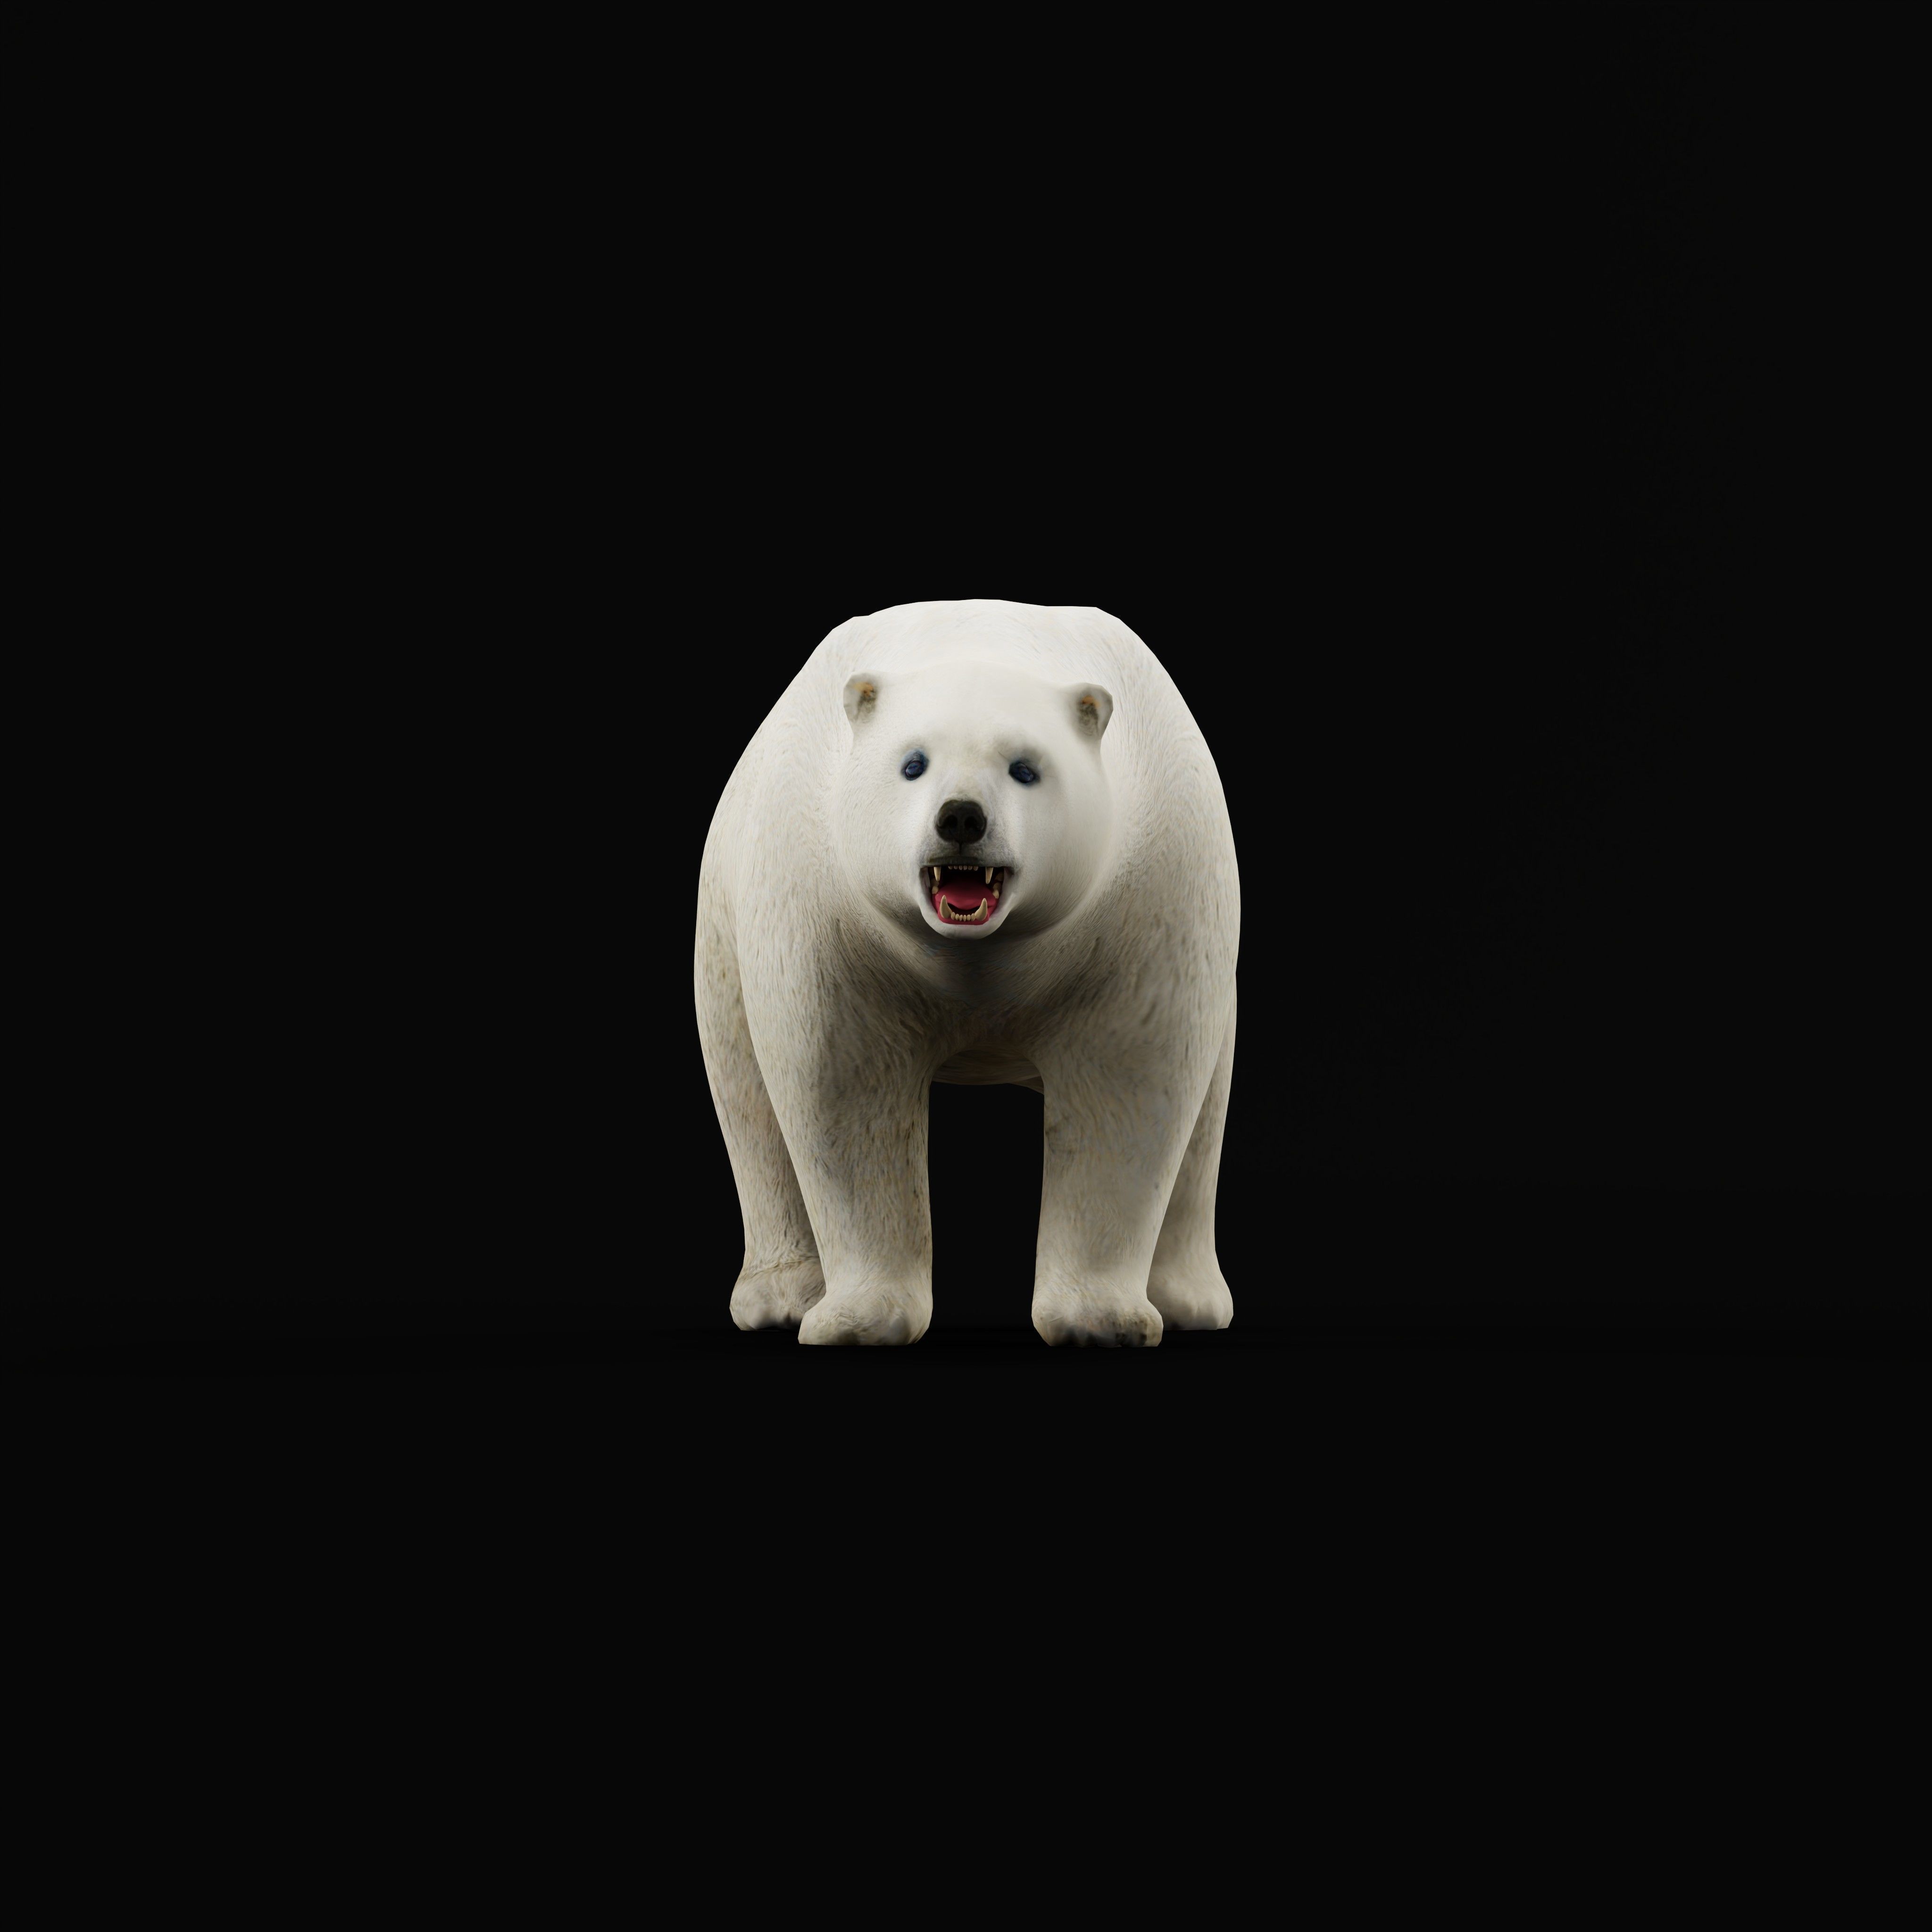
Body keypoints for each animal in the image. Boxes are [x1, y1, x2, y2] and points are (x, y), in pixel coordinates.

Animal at [694, 599, 1238, 1346]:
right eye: (913, 763)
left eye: (1025, 768)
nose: (960, 818)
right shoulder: (829, 906)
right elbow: (842, 1086)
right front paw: (861, 1318)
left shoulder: (1146, 889)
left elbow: (1130, 1082)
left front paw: (1099, 1317)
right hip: (723, 919)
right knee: (744, 1091)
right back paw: (777, 1297)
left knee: (1204, 1119)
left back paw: (1191, 1300)